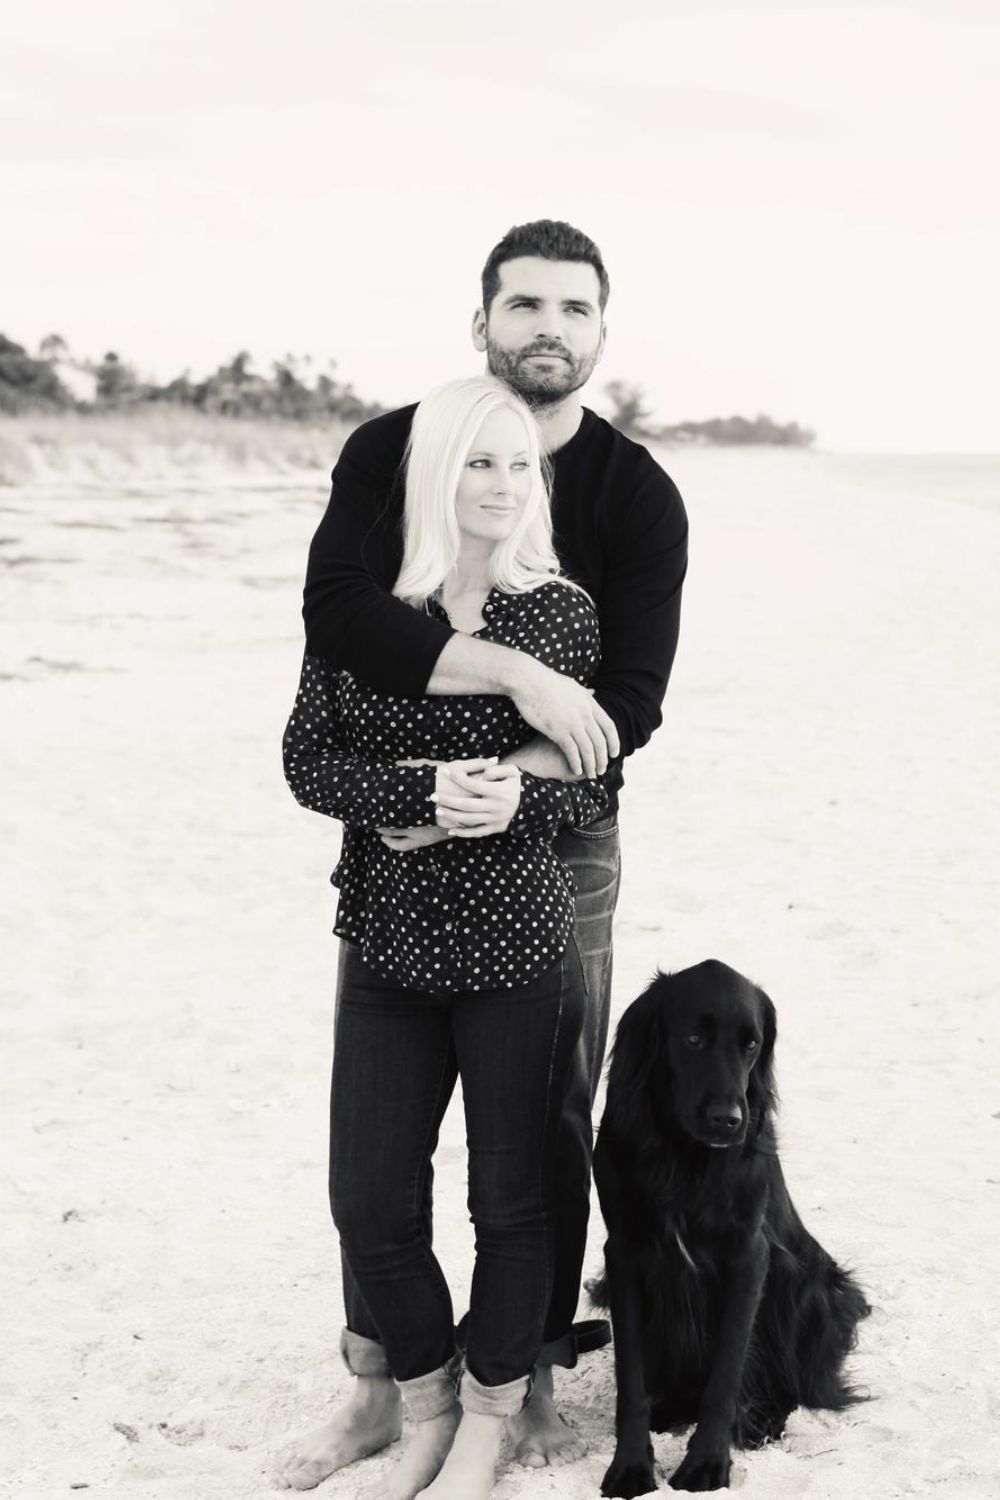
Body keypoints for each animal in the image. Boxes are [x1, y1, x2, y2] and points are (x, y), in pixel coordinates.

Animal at [593, 954, 869, 1494]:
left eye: (752, 1044)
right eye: (693, 1039)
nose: (728, 1120)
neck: (684, 1158)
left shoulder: (749, 1257)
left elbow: (725, 1373)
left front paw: (706, 1463)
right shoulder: (625, 1255)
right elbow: (631, 1377)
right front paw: (632, 1464)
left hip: (807, 1289)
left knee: (799, 1383)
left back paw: (765, 1420)